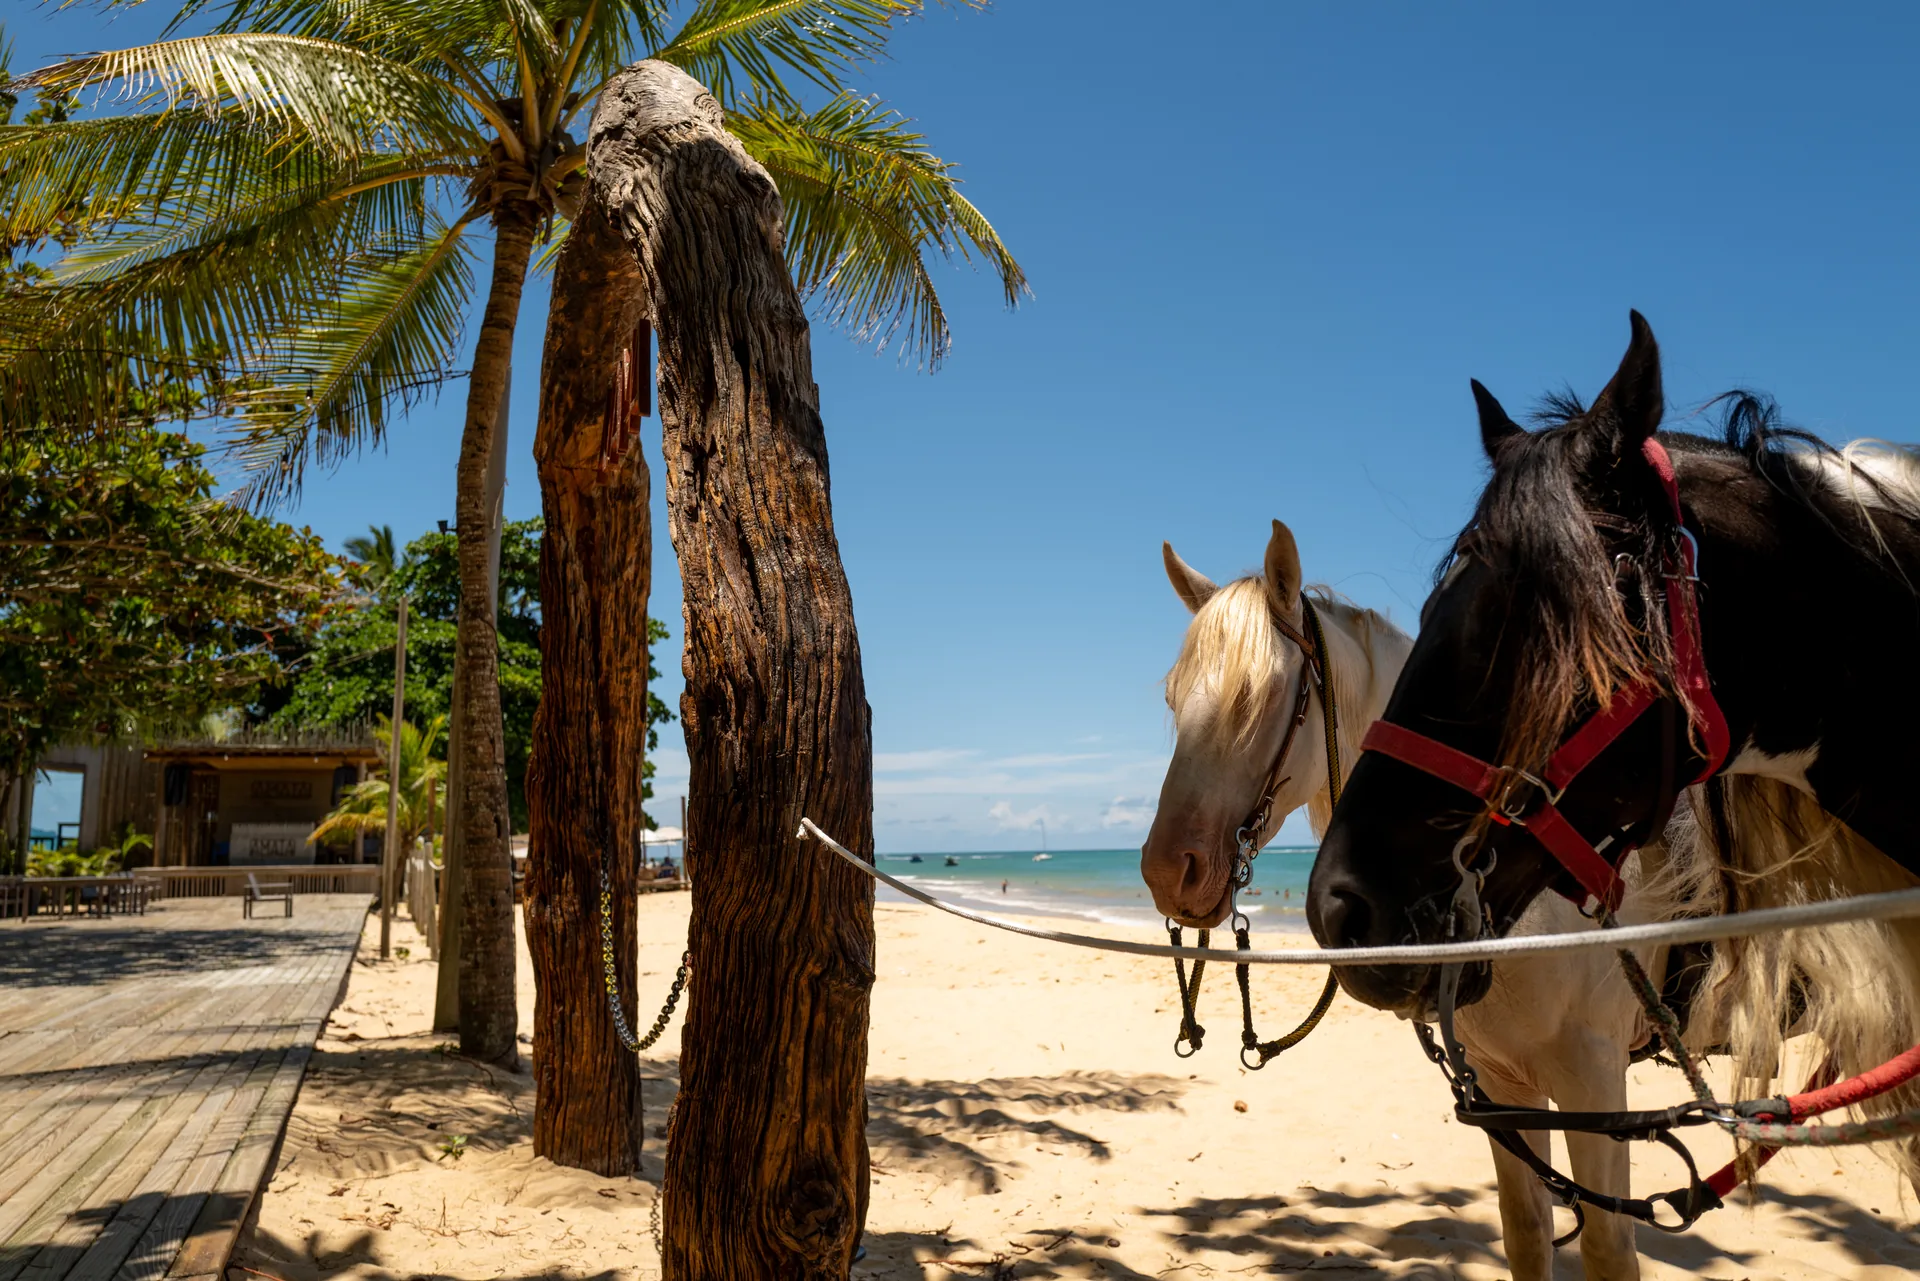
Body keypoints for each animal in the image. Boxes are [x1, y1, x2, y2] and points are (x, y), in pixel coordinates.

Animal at [1140, 523, 1710, 1279]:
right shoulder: (1503, 1087)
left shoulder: (1593, 1086)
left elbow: (1607, 1248)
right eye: (1173, 699)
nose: (1166, 871)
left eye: (1257, 695)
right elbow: (1526, 1229)